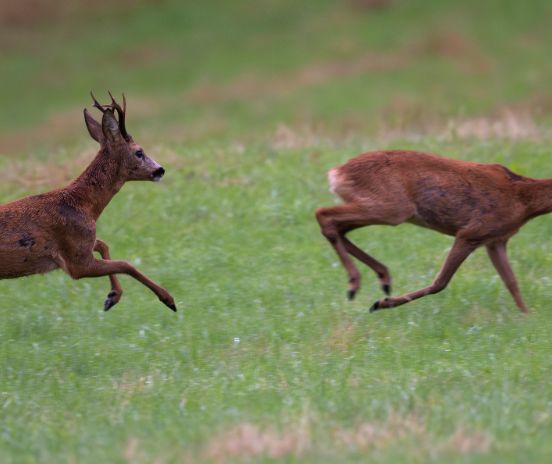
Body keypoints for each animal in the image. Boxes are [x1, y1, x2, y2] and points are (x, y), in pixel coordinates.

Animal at [0, 92, 177, 312]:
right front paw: (168, 299)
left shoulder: (82, 245)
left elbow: (102, 244)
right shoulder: (76, 262)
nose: (160, 170)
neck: (84, 205)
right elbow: (126, 264)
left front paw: (112, 296)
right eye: (139, 152)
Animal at [314, 150, 552, 314]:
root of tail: (337, 172)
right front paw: (381, 304)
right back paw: (356, 284)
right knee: (324, 214)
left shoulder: (496, 240)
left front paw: (527, 317)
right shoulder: (472, 232)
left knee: (338, 227)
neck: (523, 200)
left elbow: (512, 282)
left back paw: (382, 277)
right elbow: (440, 282)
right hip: (391, 208)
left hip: (379, 206)